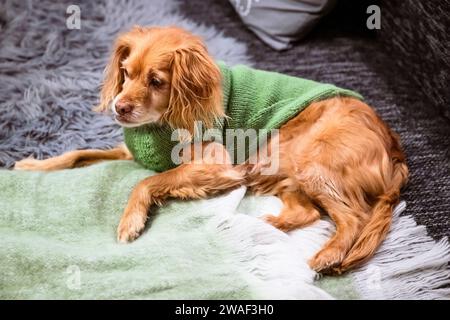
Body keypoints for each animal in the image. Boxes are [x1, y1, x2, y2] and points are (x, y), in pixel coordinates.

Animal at [14, 26, 408, 274]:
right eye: (125, 72)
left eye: (156, 81)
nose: (119, 108)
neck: (161, 123)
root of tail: (393, 144)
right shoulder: (130, 152)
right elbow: (79, 154)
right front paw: (34, 166)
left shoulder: (219, 165)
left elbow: (144, 182)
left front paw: (130, 221)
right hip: (285, 168)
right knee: (309, 212)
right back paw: (270, 224)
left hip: (309, 162)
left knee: (353, 218)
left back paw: (327, 255)